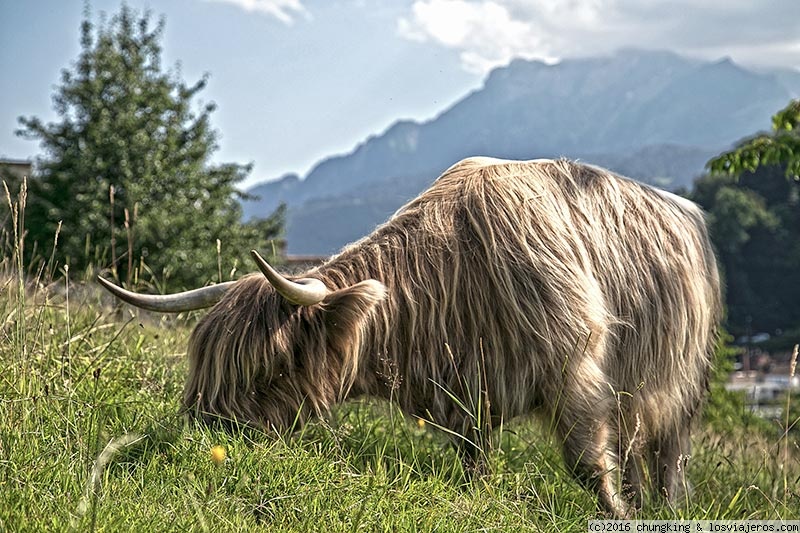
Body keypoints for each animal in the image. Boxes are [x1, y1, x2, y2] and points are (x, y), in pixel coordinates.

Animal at [98, 157, 720, 516]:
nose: (202, 438)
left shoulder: (576, 370)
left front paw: (617, 517)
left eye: (270, 366)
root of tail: (689, 213)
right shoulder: (469, 396)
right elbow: (474, 461)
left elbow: (590, 463)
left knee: (668, 454)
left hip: (678, 383)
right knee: (636, 447)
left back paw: (663, 510)